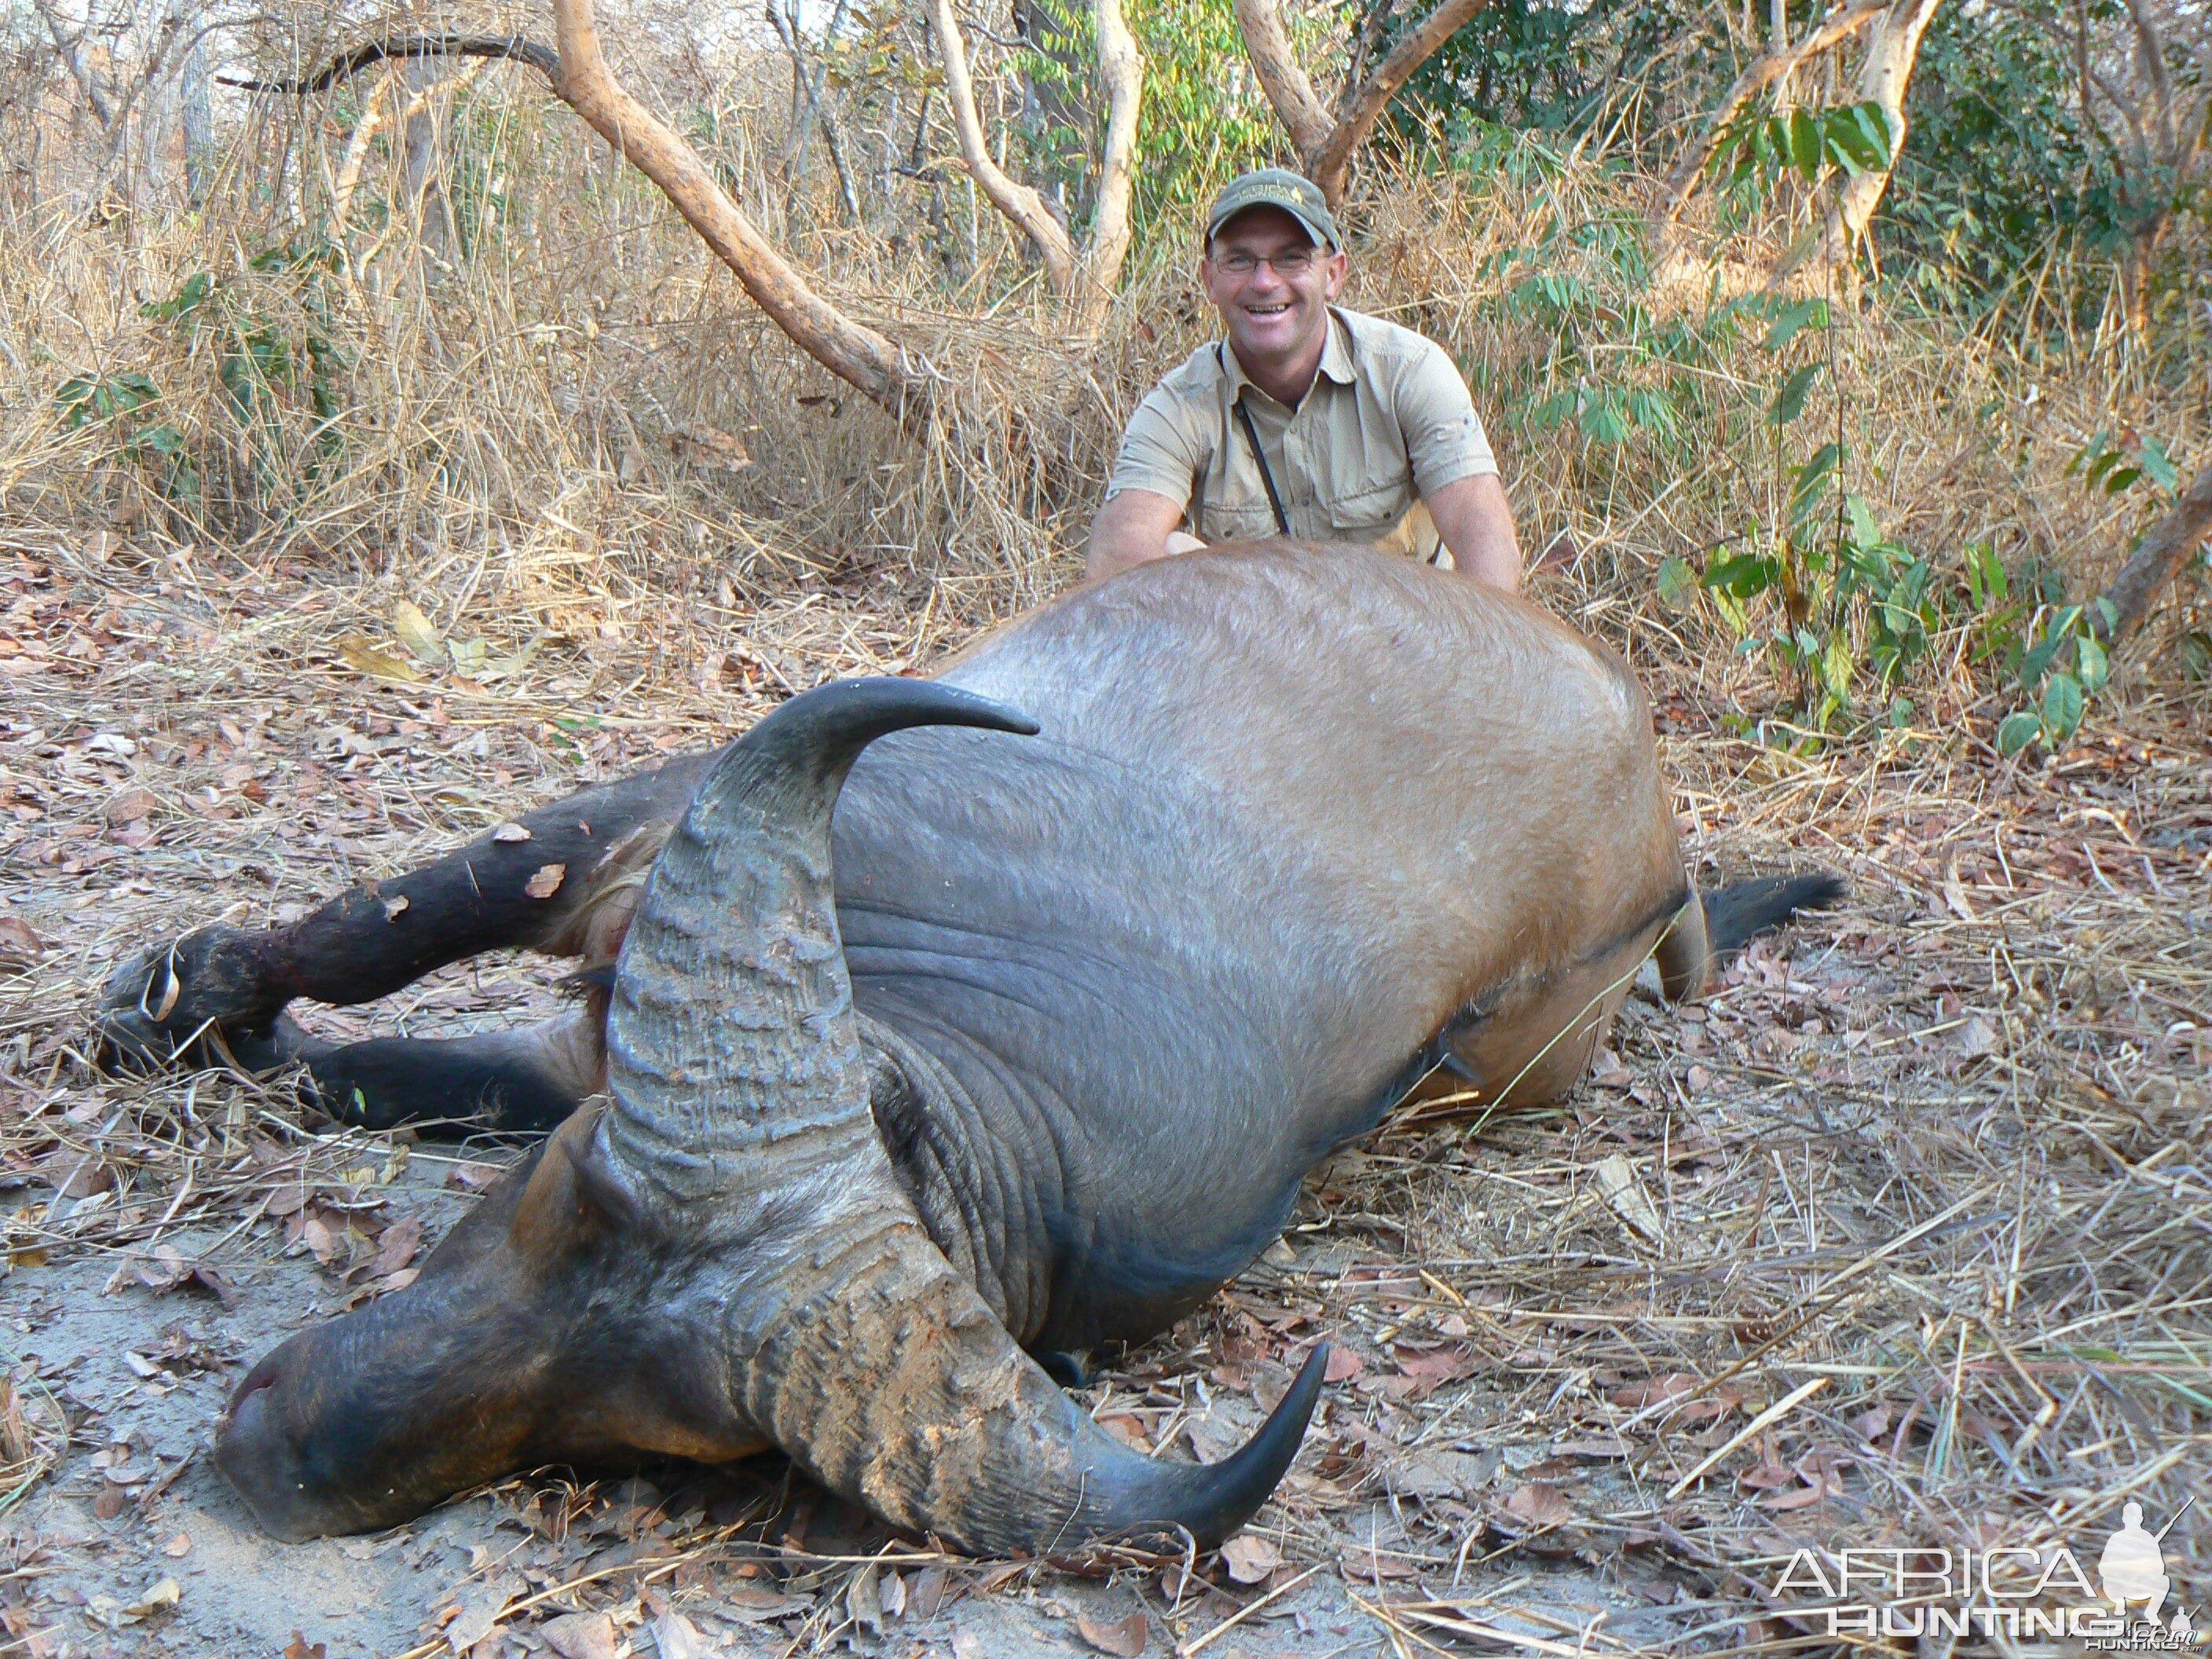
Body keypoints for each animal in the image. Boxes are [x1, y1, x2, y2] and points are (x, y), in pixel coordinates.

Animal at [99, 546, 1831, 1557]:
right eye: (557, 1200)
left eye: (643, 1428)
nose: (271, 1451)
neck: (974, 1021)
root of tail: (1658, 832)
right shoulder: (616, 844)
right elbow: (382, 936)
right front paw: (183, 998)